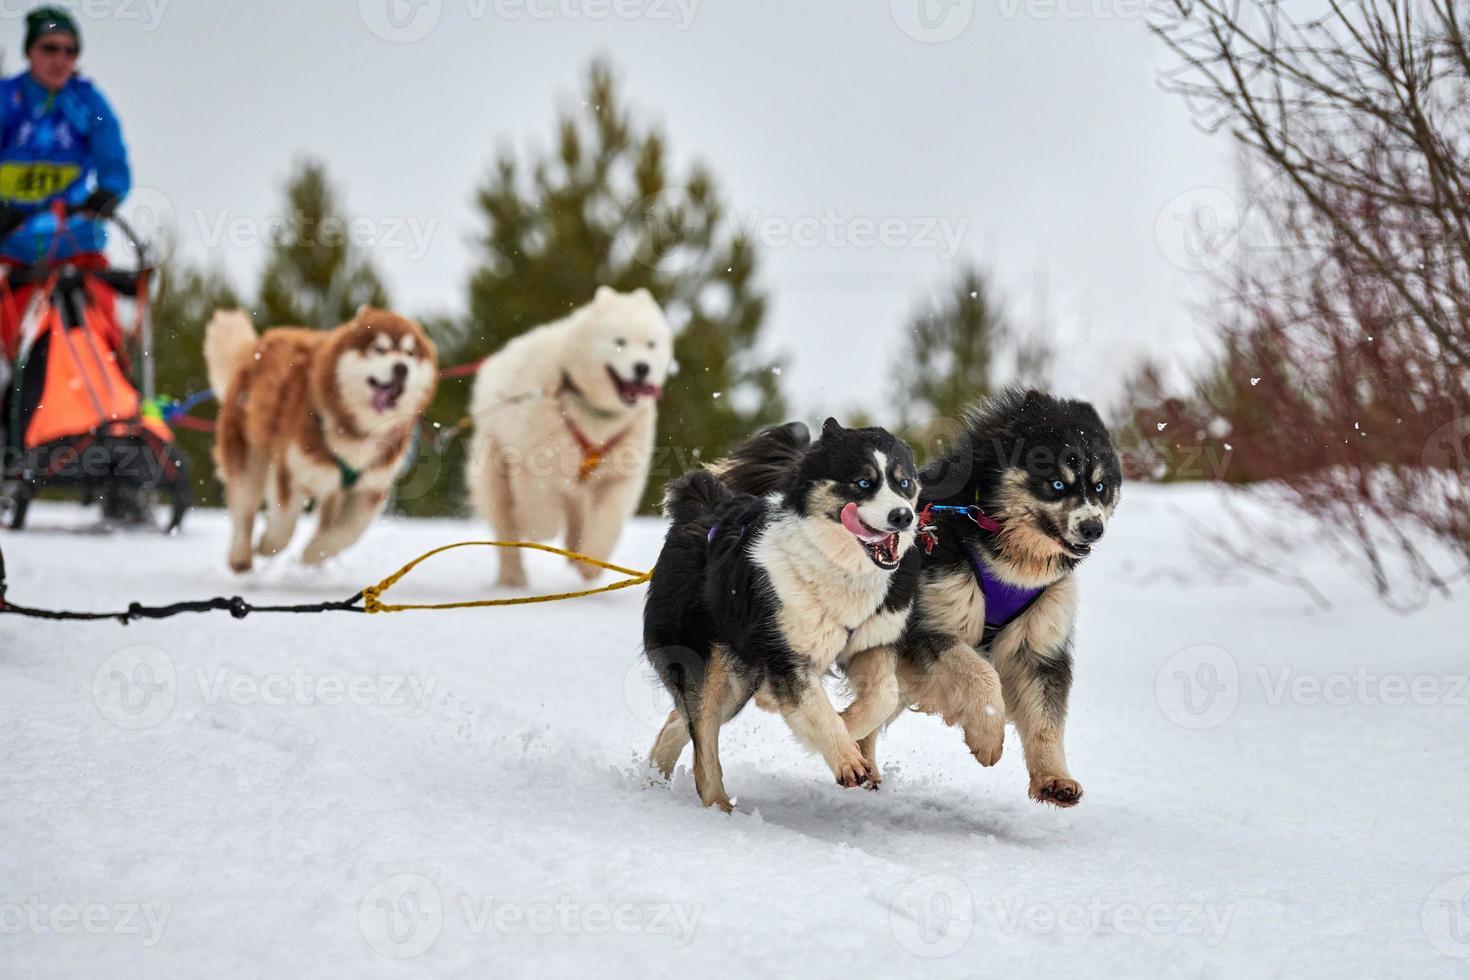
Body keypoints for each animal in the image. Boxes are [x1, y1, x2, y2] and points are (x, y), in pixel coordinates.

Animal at [643, 417, 917, 811]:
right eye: (863, 483)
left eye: (904, 482)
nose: (903, 516)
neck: (841, 569)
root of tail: (703, 509)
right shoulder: (787, 658)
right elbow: (815, 706)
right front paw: (846, 757)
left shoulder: (873, 643)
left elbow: (884, 696)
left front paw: (848, 726)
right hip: (706, 662)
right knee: (703, 744)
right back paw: (720, 808)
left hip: (736, 682)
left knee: (680, 722)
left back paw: (653, 779)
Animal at [717, 390, 1117, 811]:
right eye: (1056, 483)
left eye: (1101, 487)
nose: (1093, 528)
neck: (1004, 559)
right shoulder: (927, 629)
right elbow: (981, 672)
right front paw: (987, 736)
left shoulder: (1040, 645)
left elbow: (1045, 717)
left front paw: (1054, 777)